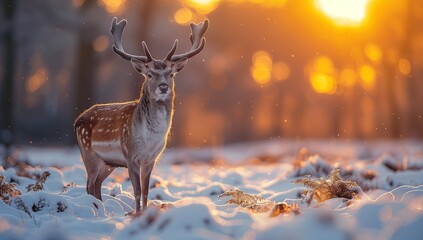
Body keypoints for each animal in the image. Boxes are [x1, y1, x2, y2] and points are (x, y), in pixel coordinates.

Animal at [75, 17, 210, 213]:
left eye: (171, 74)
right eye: (149, 74)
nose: (163, 87)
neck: (149, 140)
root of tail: (77, 120)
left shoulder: (151, 160)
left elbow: (146, 191)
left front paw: (144, 212)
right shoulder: (130, 155)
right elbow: (137, 191)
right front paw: (137, 214)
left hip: (108, 163)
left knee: (97, 185)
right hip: (88, 153)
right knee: (89, 184)